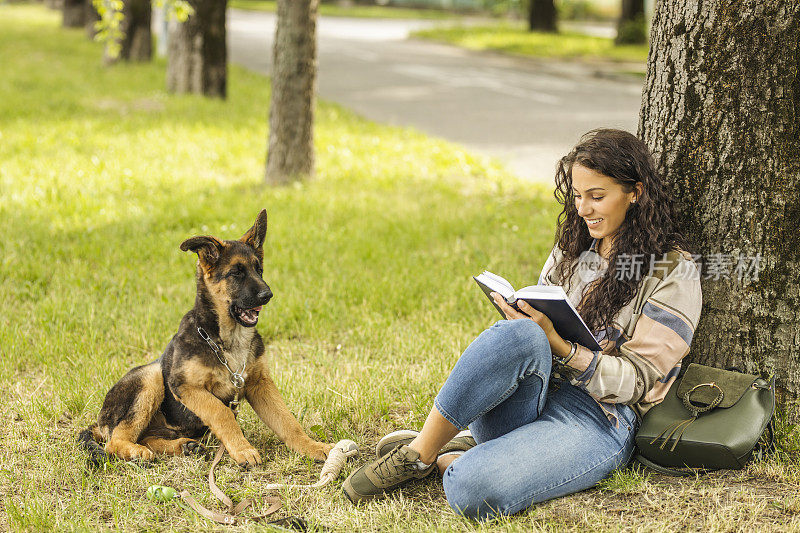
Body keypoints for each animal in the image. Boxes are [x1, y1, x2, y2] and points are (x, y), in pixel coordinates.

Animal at [79, 209, 332, 466]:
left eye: (259, 270)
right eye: (236, 273)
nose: (268, 295)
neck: (227, 339)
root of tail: (99, 423)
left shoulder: (259, 384)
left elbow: (287, 420)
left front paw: (312, 446)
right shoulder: (186, 386)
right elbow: (221, 412)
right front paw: (242, 449)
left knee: (147, 438)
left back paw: (185, 446)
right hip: (150, 377)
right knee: (115, 442)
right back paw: (138, 451)